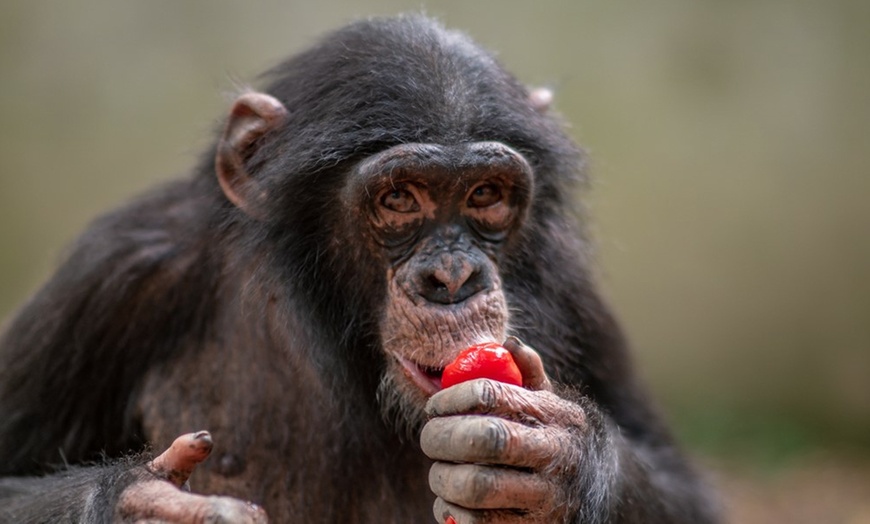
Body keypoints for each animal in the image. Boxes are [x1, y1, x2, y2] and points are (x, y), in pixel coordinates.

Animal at [0, 14, 724, 520]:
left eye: (486, 194)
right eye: (398, 197)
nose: (452, 278)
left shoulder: (575, 291)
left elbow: (686, 493)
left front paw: (556, 463)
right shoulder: (116, 273)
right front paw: (141, 506)